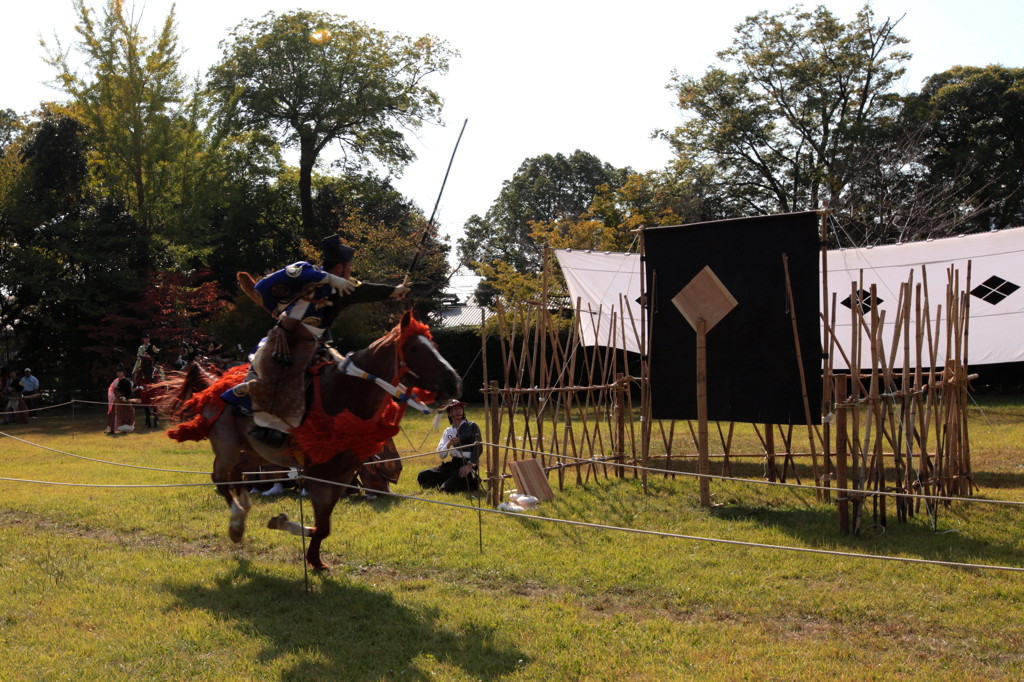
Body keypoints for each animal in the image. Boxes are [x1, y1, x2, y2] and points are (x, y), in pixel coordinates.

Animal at [162, 309, 460, 569]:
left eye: (433, 345)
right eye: (414, 349)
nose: (454, 381)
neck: (344, 396)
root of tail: (216, 383)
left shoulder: (342, 474)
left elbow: (323, 526)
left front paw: (313, 558)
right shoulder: (319, 474)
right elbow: (323, 525)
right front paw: (299, 542)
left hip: (255, 453)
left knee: (237, 476)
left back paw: (244, 508)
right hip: (228, 446)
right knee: (220, 477)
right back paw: (236, 524)